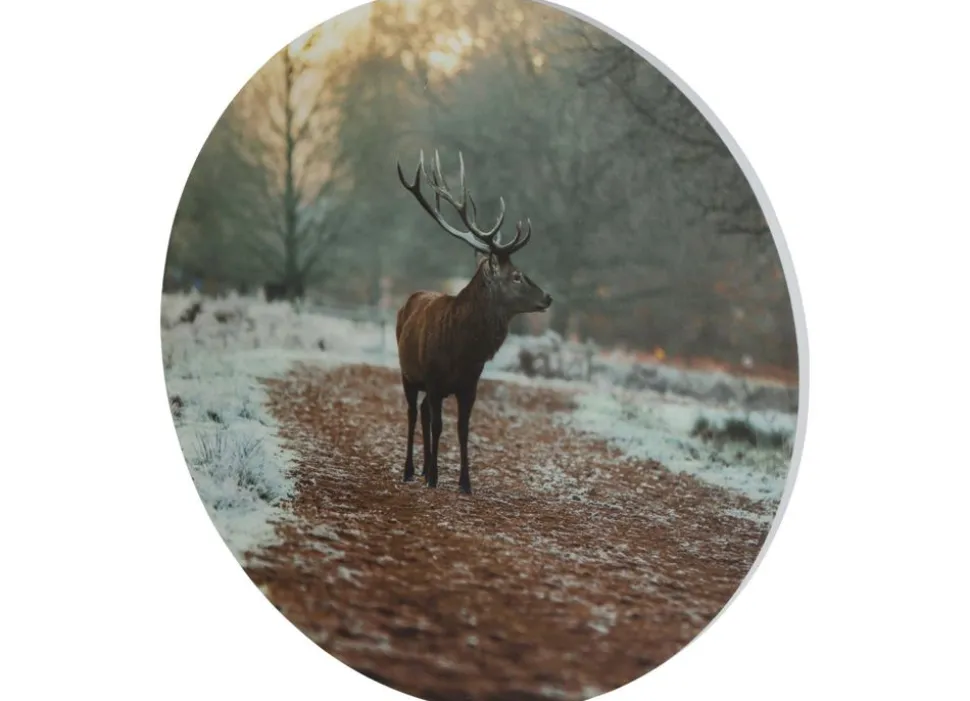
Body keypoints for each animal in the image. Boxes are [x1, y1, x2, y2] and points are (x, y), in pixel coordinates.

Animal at [395, 149, 553, 494]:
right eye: (517, 276)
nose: (548, 297)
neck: (463, 351)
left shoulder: (470, 384)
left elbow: (463, 429)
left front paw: (464, 484)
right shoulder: (435, 379)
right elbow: (439, 426)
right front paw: (435, 479)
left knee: (423, 413)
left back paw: (424, 468)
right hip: (408, 373)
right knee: (413, 413)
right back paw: (411, 470)